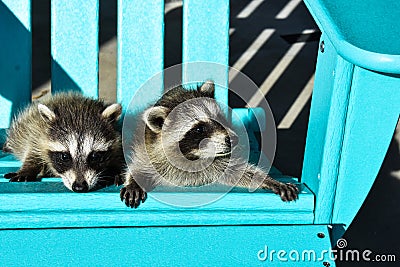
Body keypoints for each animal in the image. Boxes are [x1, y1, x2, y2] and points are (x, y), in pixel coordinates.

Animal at [120, 80, 298, 208]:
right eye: (199, 129)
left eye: (221, 118)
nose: (234, 140)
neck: (195, 157)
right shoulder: (149, 153)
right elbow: (139, 166)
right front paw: (133, 181)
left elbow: (240, 172)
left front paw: (268, 180)